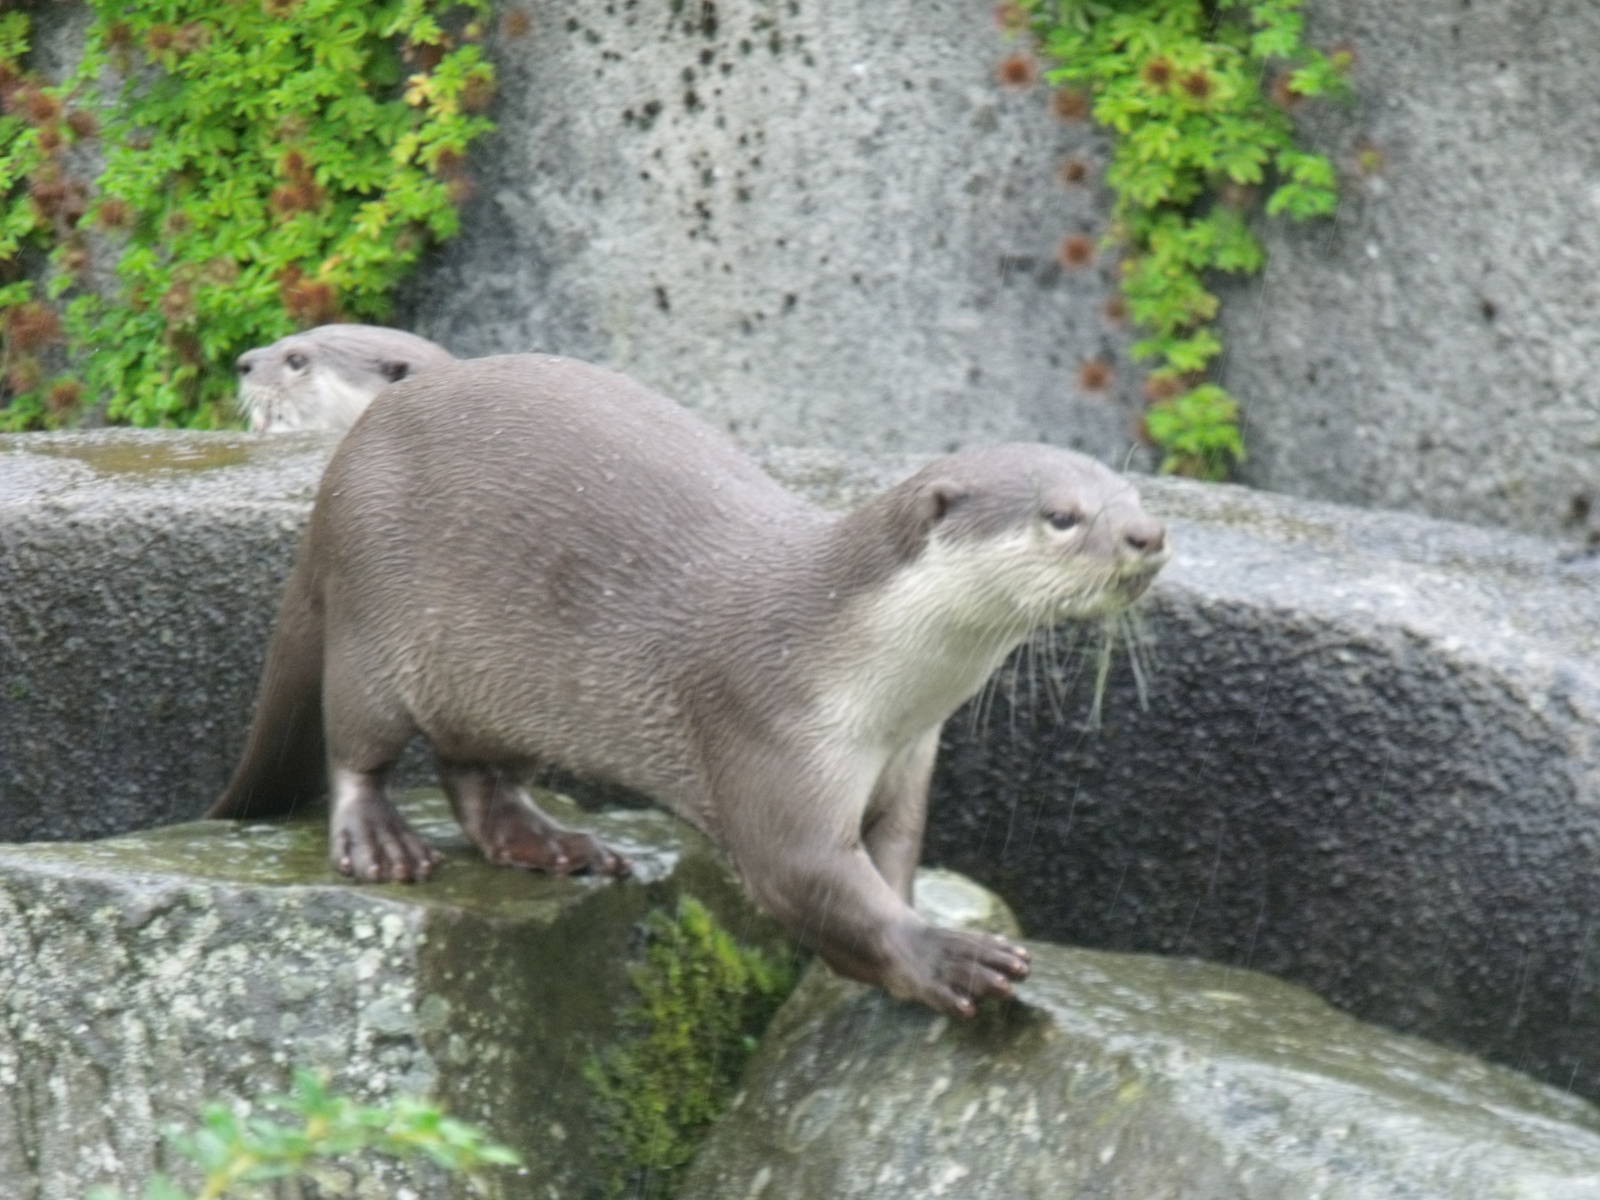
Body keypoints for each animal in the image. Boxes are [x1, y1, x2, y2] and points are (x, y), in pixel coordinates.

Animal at [209, 354, 1169, 1018]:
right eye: (1061, 516)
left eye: (1131, 491)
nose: (1149, 535)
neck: (866, 663)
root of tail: (336, 477)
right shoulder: (771, 729)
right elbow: (804, 874)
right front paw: (945, 957)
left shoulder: (907, 759)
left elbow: (893, 857)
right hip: (374, 622)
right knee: (356, 747)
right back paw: (380, 842)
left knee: (475, 776)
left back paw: (551, 843)